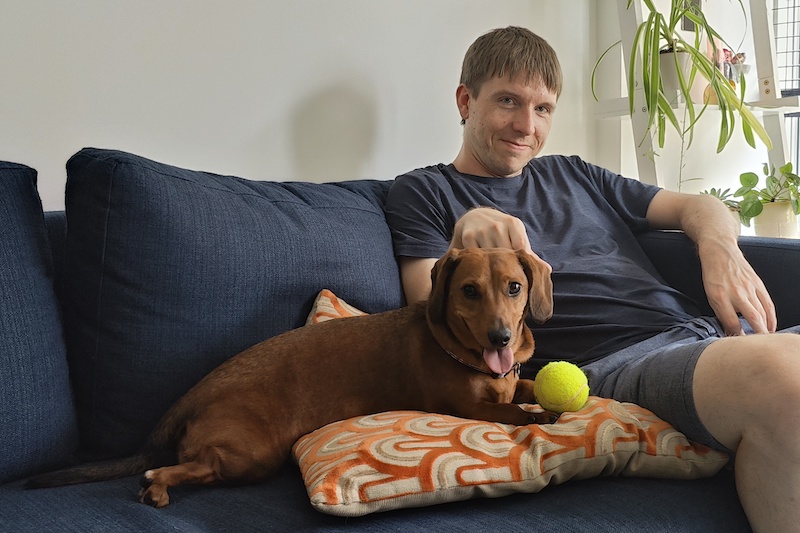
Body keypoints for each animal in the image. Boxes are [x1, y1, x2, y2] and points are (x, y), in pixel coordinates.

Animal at [29, 247, 556, 504]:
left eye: (514, 287)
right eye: (469, 291)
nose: (500, 338)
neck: (467, 355)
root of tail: (193, 395)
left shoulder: (508, 380)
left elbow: (524, 387)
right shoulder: (463, 407)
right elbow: (512, 411)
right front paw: (541, 416)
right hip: (253, 454)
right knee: (194, 466)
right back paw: (157, 479)